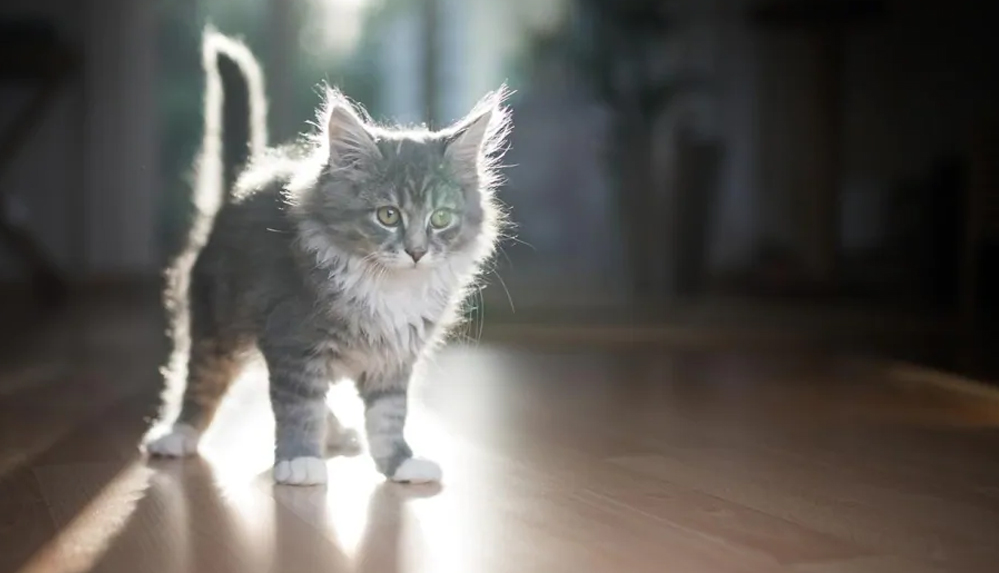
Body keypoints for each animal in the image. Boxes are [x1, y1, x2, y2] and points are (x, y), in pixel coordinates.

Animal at [145, 25, 512, 482]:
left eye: (441, 218)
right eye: (388, 215)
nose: (416, 252)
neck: (388, 288)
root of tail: (239, 187)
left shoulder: (394, 359)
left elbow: (389, 416)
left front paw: (400, 462)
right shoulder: (293, 342)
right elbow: (299, 408)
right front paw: (300, 461)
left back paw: (335, 433)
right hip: (217, 321)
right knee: (200, 380)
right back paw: (178, 434)